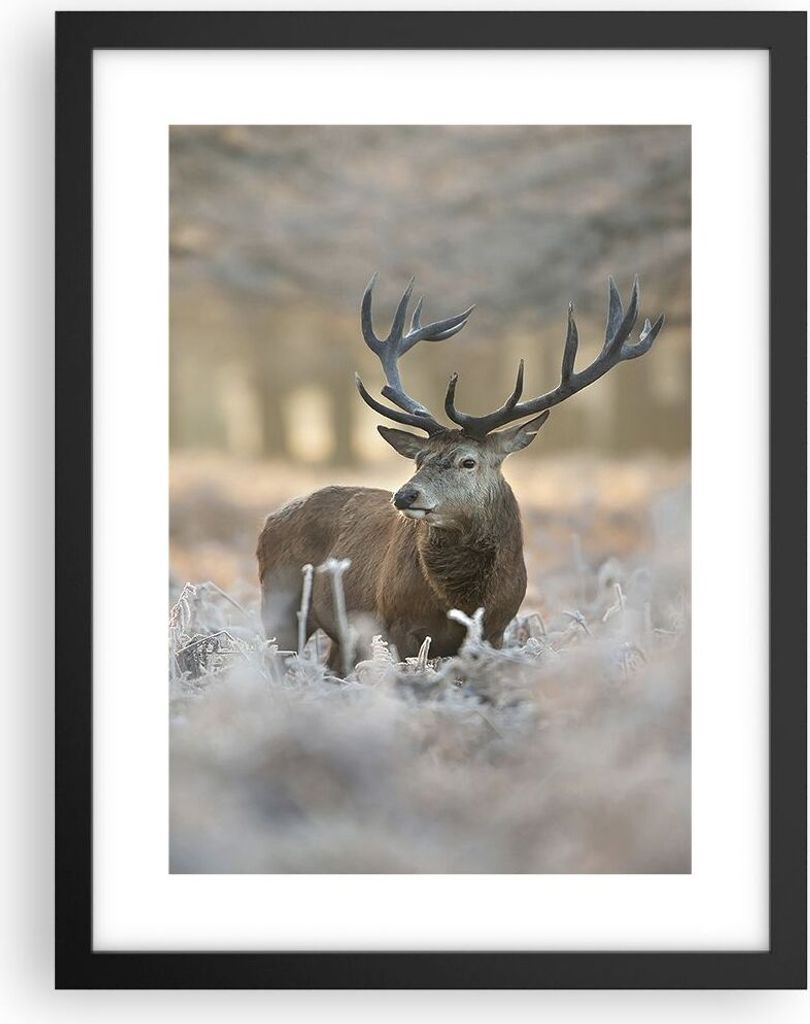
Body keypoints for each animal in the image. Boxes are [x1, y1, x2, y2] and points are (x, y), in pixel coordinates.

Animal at [257, 274, 664, 671]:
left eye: (468, 461)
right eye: (419, 459)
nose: (405, 495)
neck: (462, 601)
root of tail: (270, 519)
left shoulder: (496, 630)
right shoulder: (396, 625)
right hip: (279, 602)